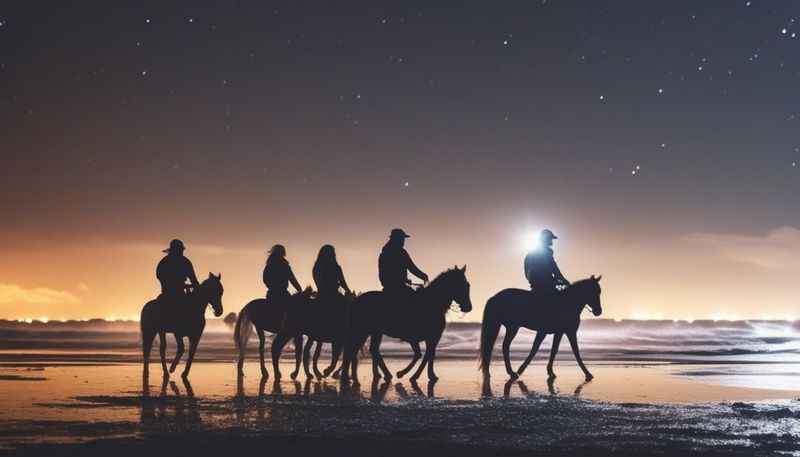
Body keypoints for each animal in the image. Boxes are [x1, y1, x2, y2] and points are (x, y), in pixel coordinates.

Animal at [340, 266, 476, 382]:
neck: (432, 302)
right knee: (354, 350)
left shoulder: (429, 338)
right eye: (462, 285)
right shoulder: (422, 337)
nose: (468, 307)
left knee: (369, 350)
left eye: (468, 285)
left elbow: (426, 355)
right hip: (362, 331)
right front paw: (411, 375)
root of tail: (355, 300)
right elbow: (424, 355)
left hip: (373, 332)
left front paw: (426, 375)